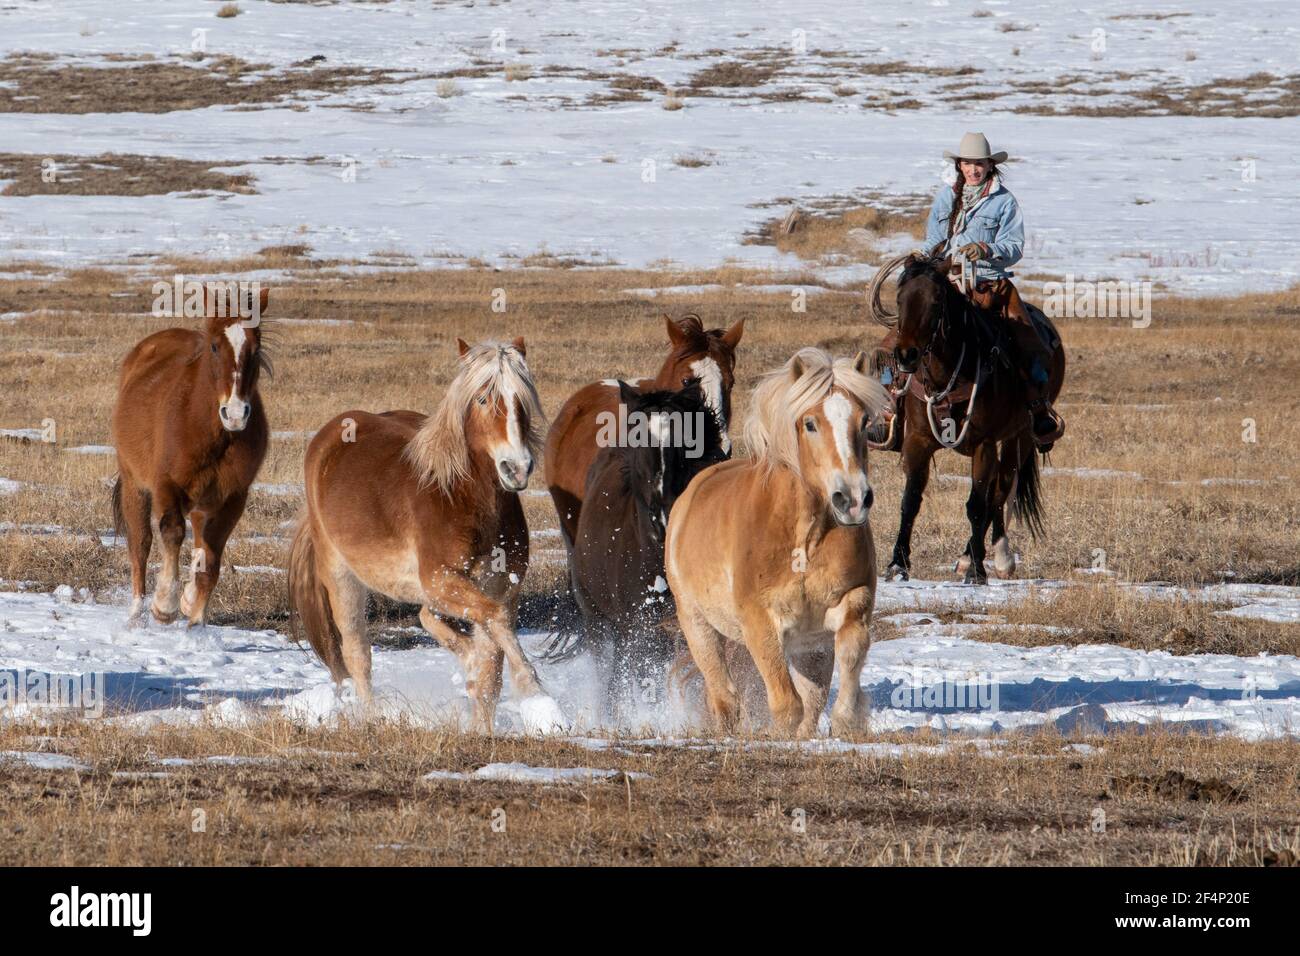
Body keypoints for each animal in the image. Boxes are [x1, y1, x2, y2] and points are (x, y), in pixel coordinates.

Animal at [111, 283, 271, 629]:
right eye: (214, 346)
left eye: (256, 348)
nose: (235, 414)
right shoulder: (166, 485)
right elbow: (171, 533)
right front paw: (165, 605)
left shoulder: (233, 497)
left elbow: (211, 559)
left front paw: (195, 617)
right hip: (134, 485)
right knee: (140, 544)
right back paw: (136, 613)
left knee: (198, 539)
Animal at [665, 348, 889, 738]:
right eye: (810, 423)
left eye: (863, 422)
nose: (853, 499)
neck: (804, 537)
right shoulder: (759, 622)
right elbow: (786, 704)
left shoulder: (849, 605)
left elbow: (848, 658)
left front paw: (847, 720)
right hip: (697, 623)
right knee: (724, 696)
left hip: (808, 647)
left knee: (811, 698)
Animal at [863, 254, 1066, 582]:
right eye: (900, 298)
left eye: (936, 301)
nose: (907, 355)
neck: (948, 375)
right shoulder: (917, 440)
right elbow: (910, 500)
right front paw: (897, 564)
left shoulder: (984, 444)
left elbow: (976, 505)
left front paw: (976, 569)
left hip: (1020, 437)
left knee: (1000, 489)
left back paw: (993, 557)